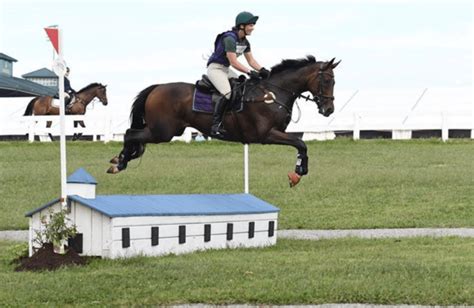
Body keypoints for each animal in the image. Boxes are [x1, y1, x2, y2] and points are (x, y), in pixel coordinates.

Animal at [107, 56, 338, 188]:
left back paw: (120, 160)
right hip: (162, 132)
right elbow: (301, 143)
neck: (272, 93)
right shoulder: (267, 134)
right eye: (327, 80)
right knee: (130, 134)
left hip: (165, 131)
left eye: (334, 81)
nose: (328, 110)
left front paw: (298, 172)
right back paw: (120, 162)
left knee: (133, 136)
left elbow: (300, 144)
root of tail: (156, 88)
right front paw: (298, 172)